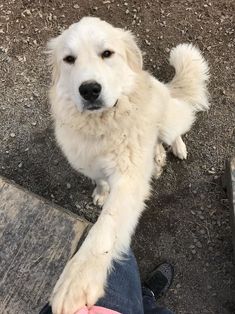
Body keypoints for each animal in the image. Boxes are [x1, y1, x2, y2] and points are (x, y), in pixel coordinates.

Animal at [46, 17, 208, 314]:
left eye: (107, 53)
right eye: (69, 59)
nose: (89, 89)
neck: (101, 125)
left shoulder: (128, 180)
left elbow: (105, 227)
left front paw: (77, 279)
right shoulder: (89, 163)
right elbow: (100, 180)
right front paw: (101, 193)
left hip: (169, 120)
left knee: (177, 127)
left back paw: (176, 148)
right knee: (156, 144)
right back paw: (157, 158)